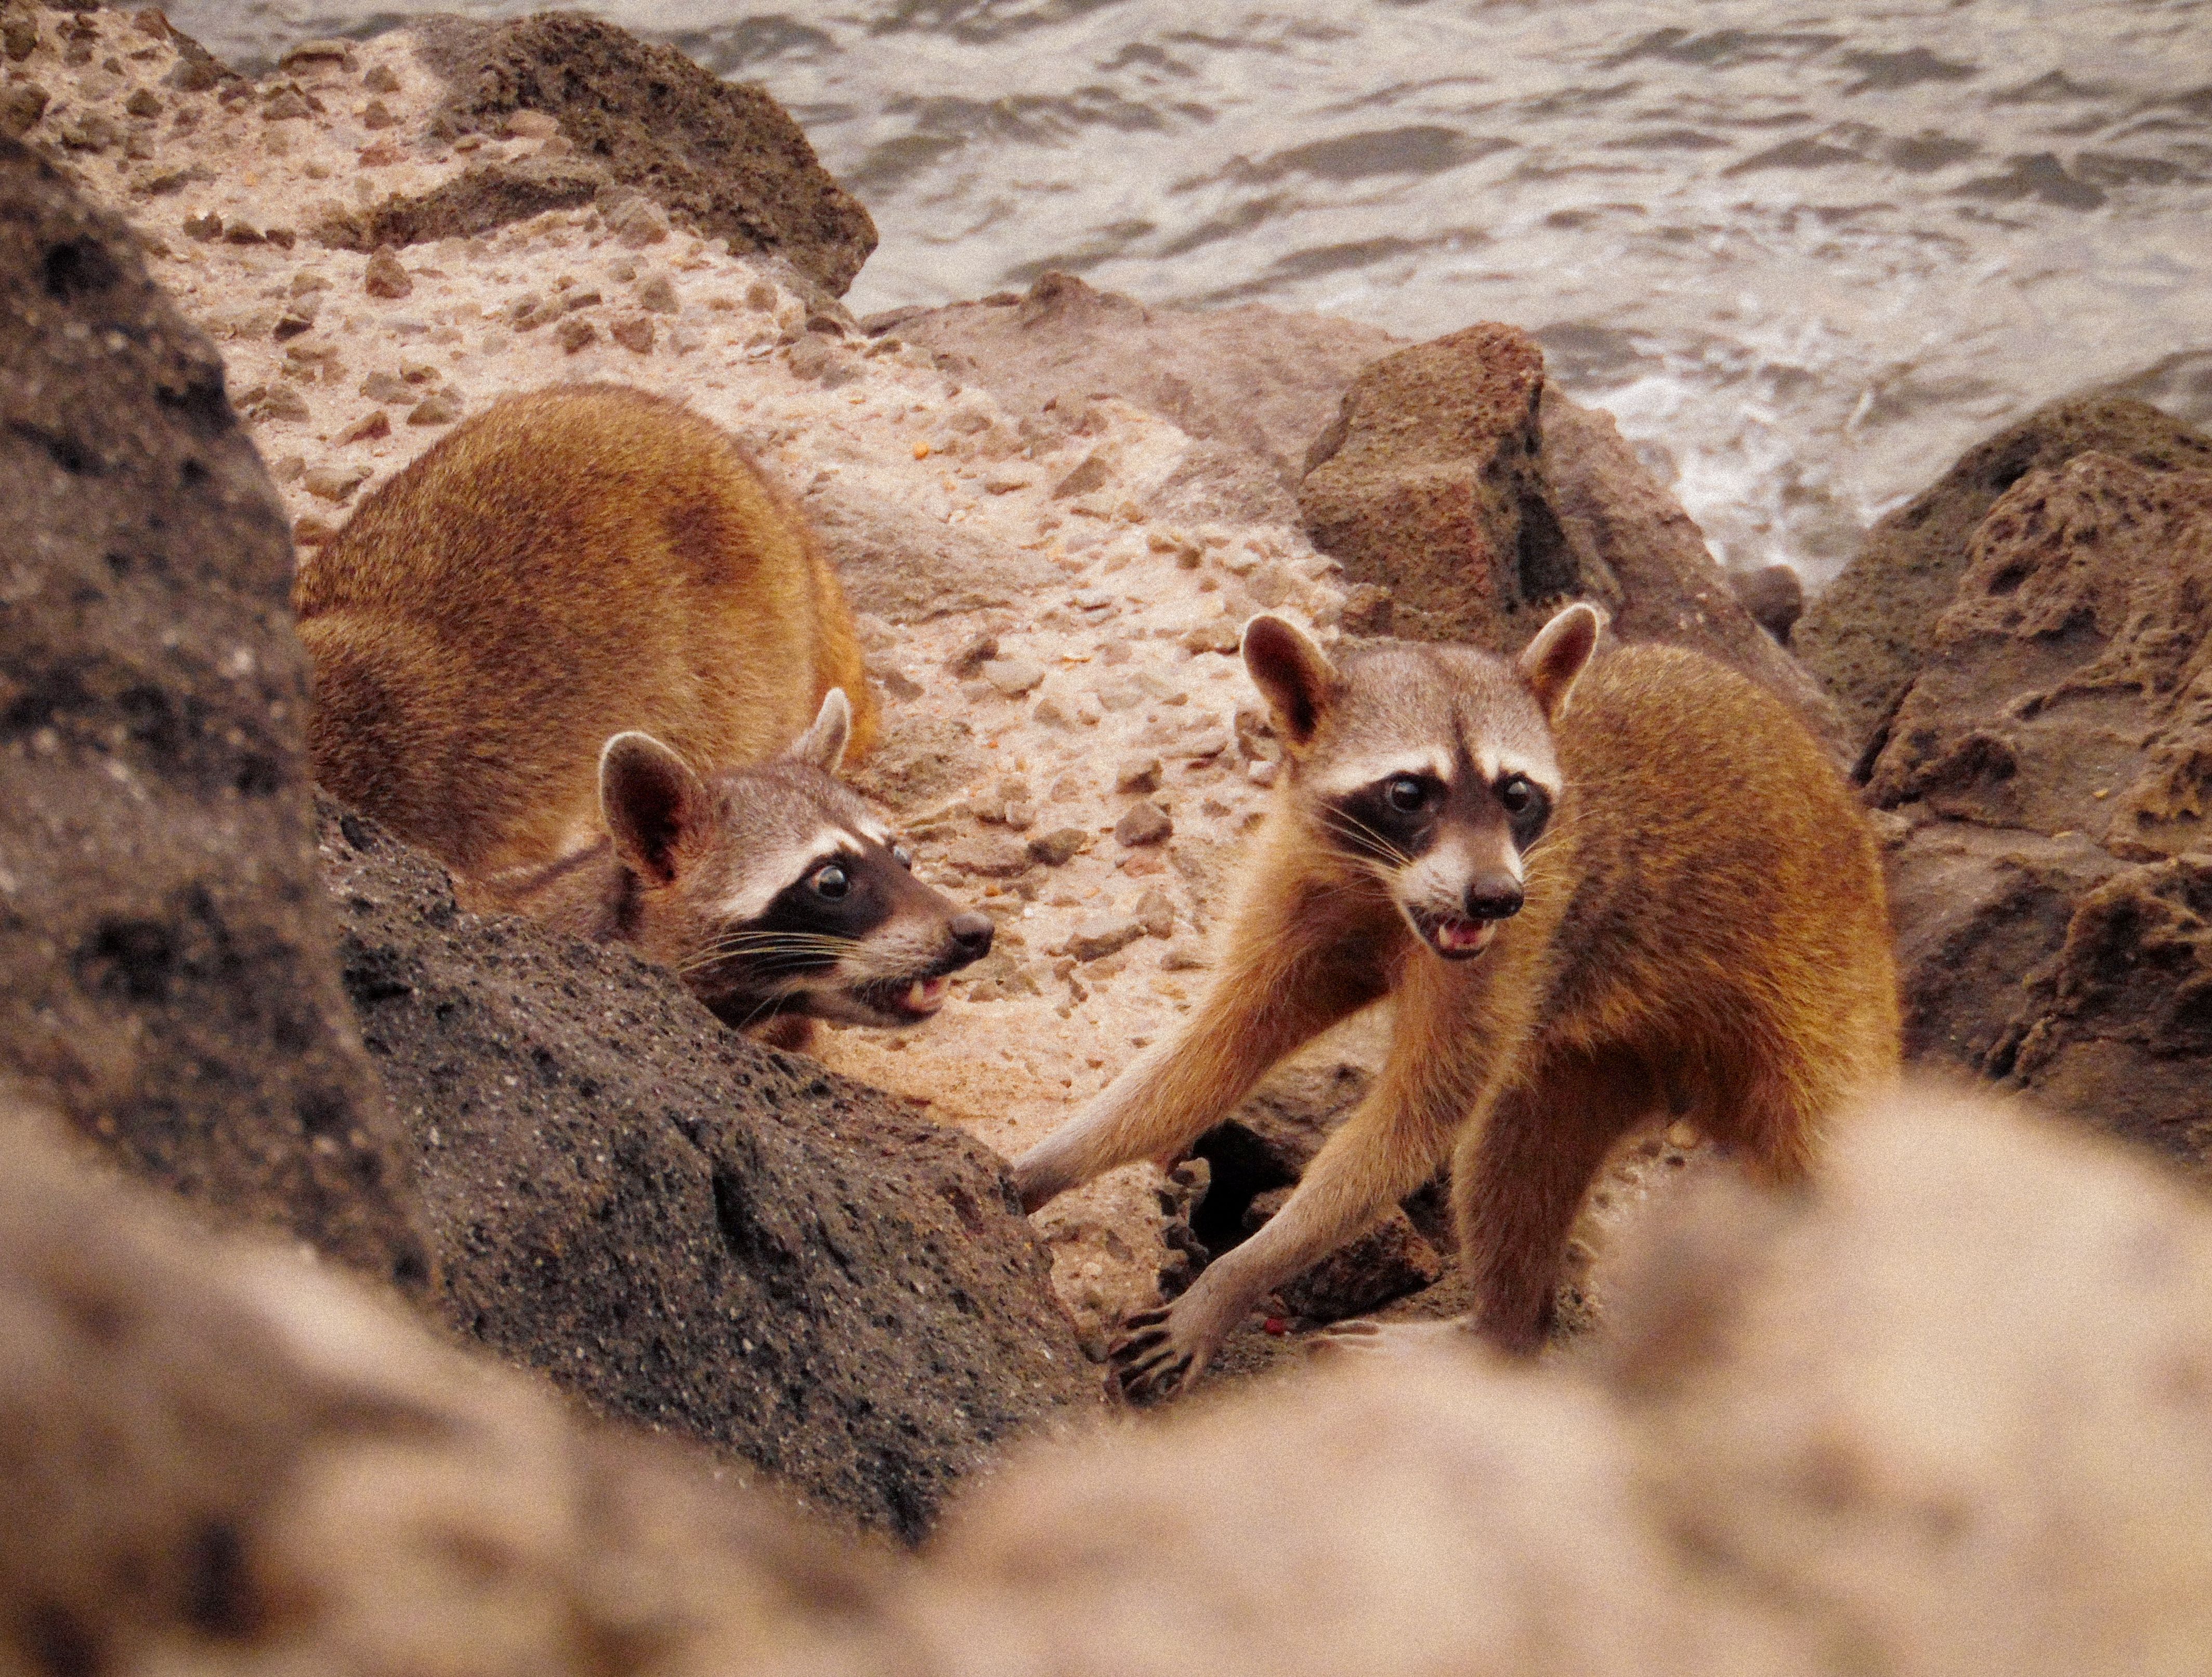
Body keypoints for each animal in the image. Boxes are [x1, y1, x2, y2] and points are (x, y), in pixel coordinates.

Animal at [1012, 604, 1899, 1402]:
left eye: (1517, 793)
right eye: (1408, 791)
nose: (1494, 896)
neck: (1387, 894)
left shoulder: (1526, 928)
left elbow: (1416, 1115)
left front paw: (1233, 1276)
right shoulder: (1303, 883)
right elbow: (1212, 1052)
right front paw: (1045, 1164)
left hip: (1826, 997)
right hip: (1598, 1057)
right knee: (1514, 1154)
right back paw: (1501, 1330)